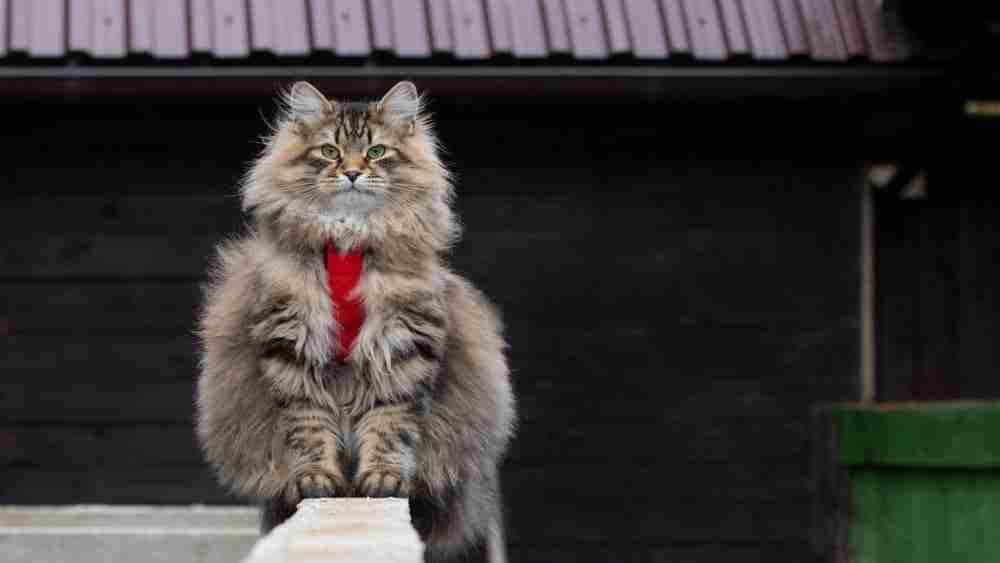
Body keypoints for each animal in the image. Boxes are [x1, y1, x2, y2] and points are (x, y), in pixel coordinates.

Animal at [195, 80, 516, 563]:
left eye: (377, 151)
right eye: (329, 151)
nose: (350, 172)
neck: (347, 239)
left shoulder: (403, 346)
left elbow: (389, 427)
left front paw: (382, 480)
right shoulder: (290, 347)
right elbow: (310, 430)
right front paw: (318, 480)